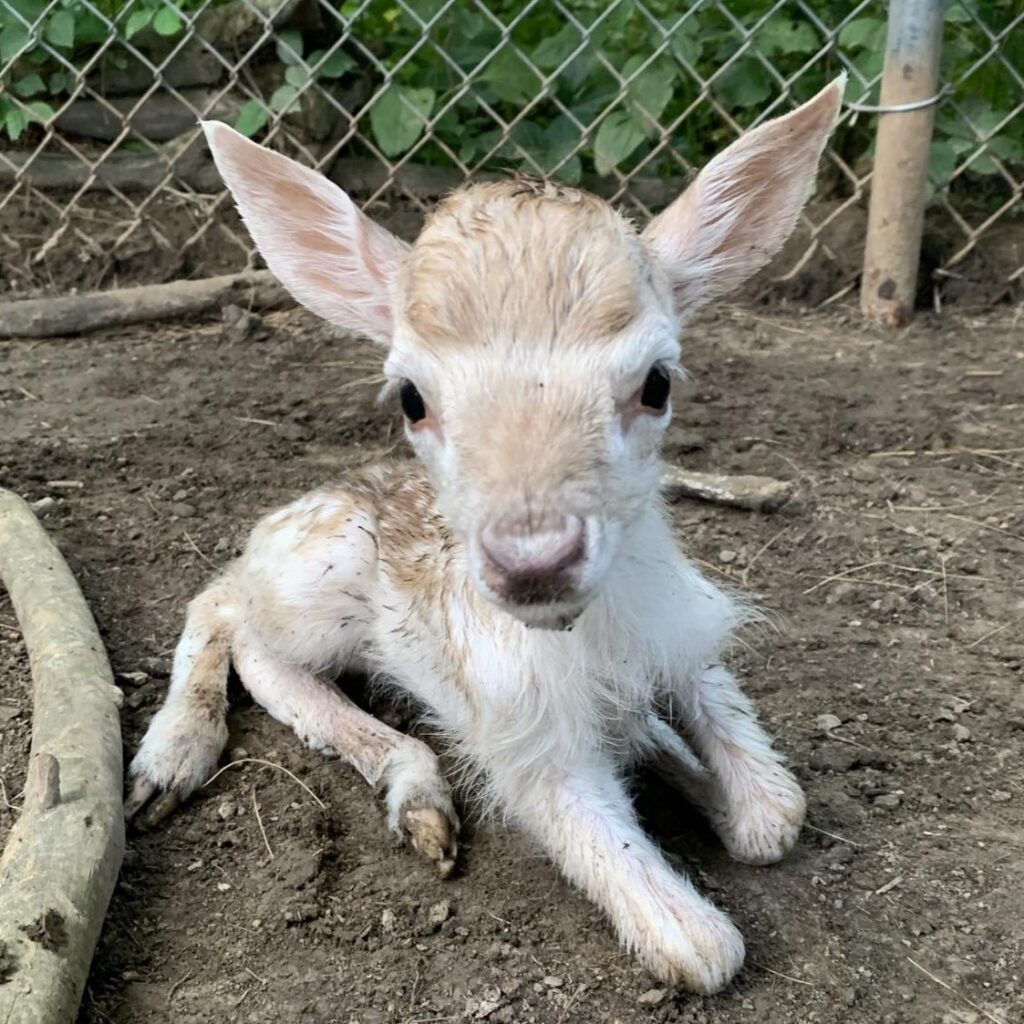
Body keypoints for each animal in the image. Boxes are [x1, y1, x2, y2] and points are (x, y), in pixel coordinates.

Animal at [128, 77, 843, 991]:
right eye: (411, 398)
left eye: (657, 383)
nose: (534, 559)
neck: (592, 640)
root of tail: (293, 510)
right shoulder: (520, 737)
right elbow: (701, 947)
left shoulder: (686, 639)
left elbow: (772, 812)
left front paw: (674, 758)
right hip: (315, 582)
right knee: (229, 614)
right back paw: (184, 766)